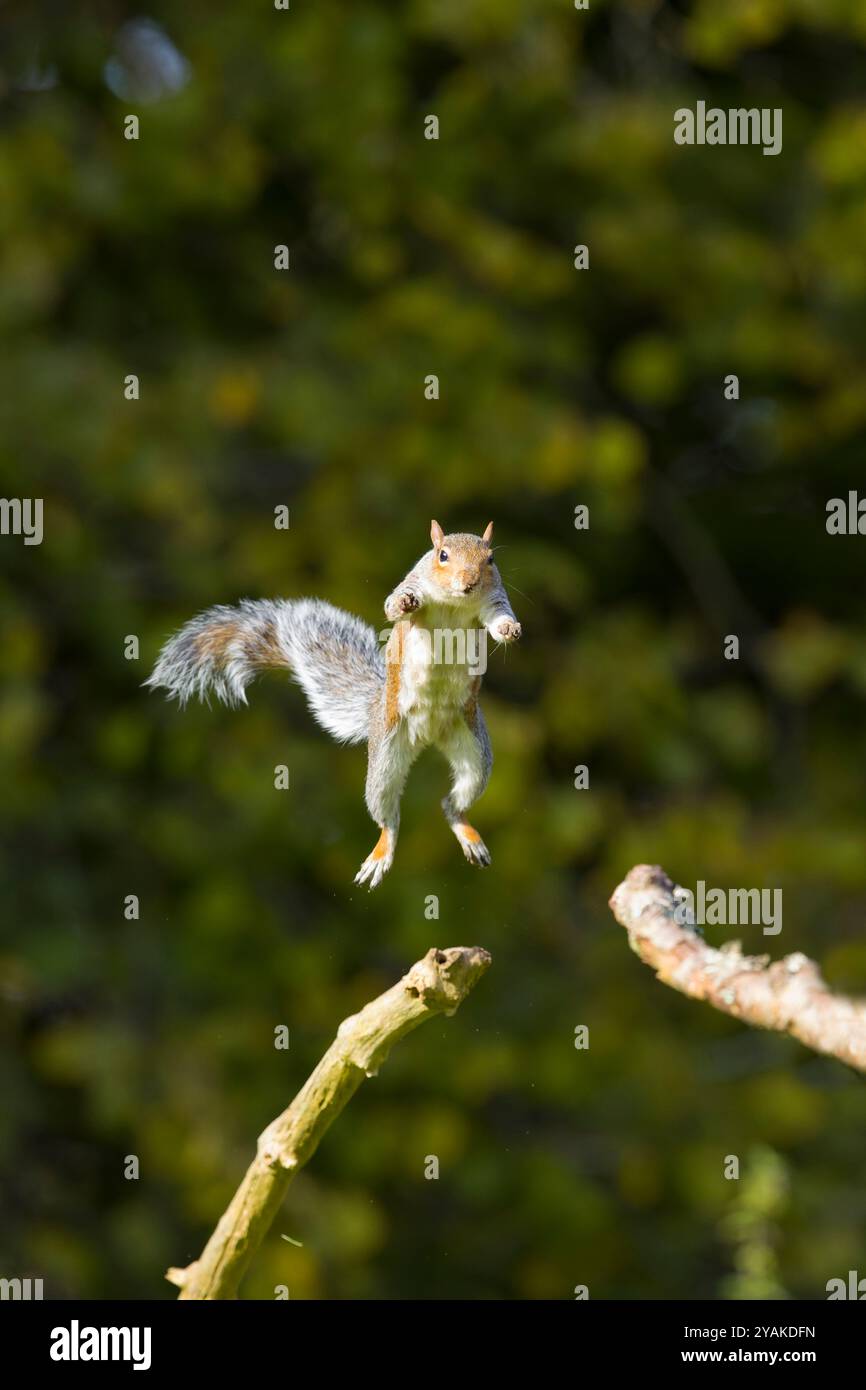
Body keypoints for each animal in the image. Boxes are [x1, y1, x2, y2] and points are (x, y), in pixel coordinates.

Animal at [146, 522, 522, 889]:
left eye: (490, 560)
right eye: (441, 555)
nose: (469, 582)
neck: (454, 602)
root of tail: (427, 735)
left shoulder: (493, 601)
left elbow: (497, 619)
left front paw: (510, 629)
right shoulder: (416, 581)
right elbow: (394, 605)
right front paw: (405, 603)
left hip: (473, 749)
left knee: (453, 803)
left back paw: (467, 834)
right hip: (385, 753)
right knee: (388, 816)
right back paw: (381, 853)